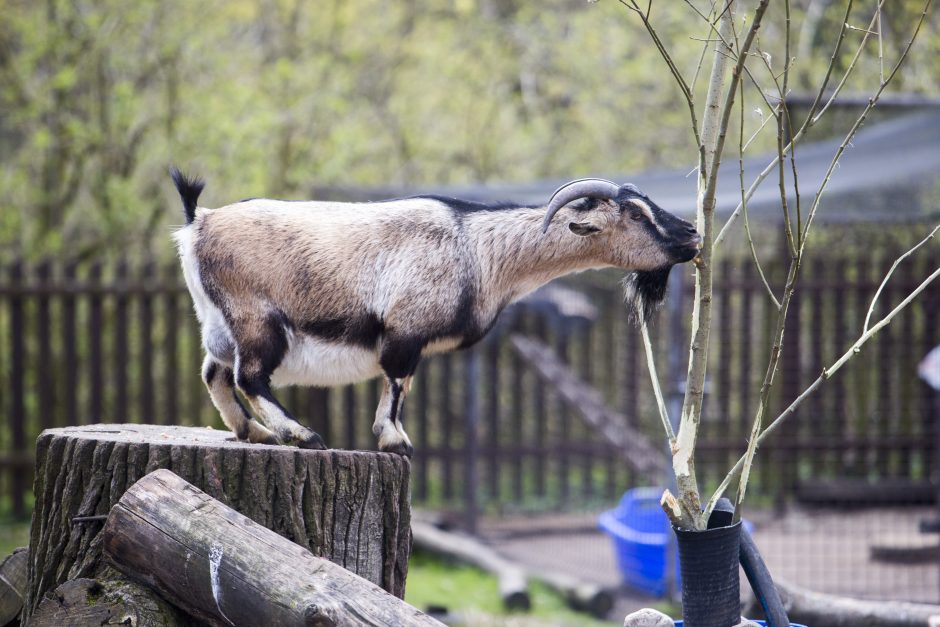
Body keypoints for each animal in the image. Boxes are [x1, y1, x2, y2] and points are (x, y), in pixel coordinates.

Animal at [171, 172, 696, 456]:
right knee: (250, 375)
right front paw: (395, 441)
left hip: (220, 323)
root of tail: (199, 223)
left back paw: (254, 432)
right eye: (636, 215)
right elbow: (398, 384)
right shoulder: (406, 330)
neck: (480, 248)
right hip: (257, 317)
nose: (691, 234)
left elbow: (401, 385)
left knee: (214, 372)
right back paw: (301, 434)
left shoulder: (412, 339)